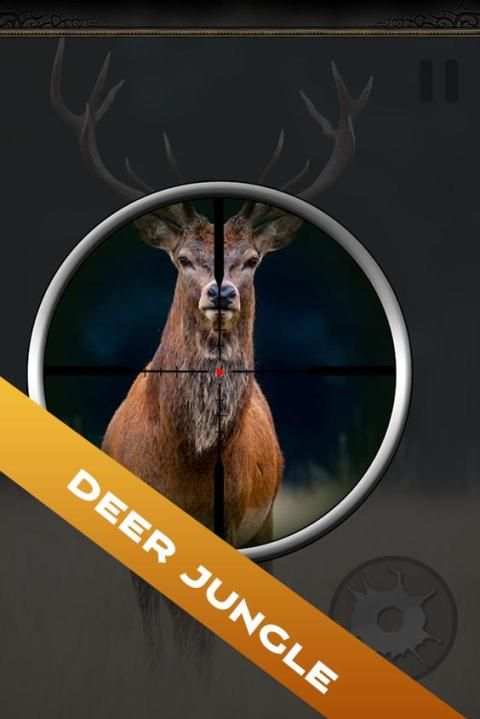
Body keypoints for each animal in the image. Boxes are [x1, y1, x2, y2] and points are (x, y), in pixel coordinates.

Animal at [50, 39, 373, 648]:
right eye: (182, 258)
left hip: (264, 523)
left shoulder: (239, 527)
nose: (221, 292)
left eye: (252, 259)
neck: (191, 467)